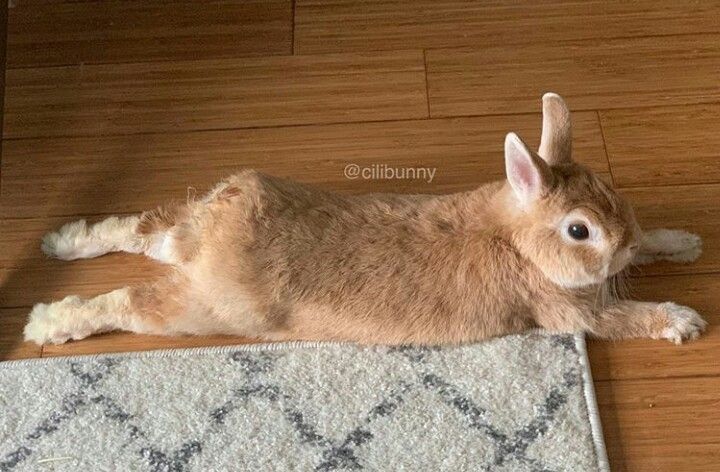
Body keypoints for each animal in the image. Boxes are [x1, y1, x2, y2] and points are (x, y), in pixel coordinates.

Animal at [24, 93, 706, 347]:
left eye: (611, 192)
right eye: (578, 231)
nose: (621, 243)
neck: (516, 238)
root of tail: (206, 248)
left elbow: (658, 246)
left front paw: (687, 241)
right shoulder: (567, 311)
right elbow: (622, 318)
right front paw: (685, 320)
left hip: (195, 222)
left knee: (143, 230)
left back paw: (60, 242)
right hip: (200, 310)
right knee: (129, 301)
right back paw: (46, 322)